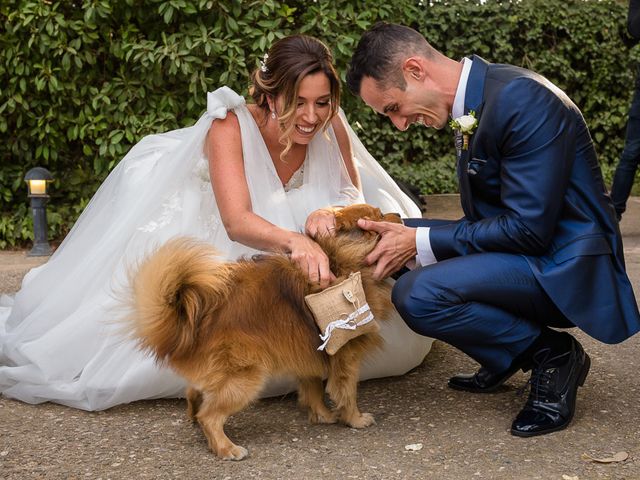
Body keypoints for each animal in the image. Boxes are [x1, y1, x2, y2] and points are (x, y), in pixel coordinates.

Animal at [129, 203, 400, 462]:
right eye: (378, 216)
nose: (398, 215)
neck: (338, 257)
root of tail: (194, 322)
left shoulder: (305, 352)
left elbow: (312, 389)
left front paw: (323, 415)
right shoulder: (347, 357)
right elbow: (347, 392)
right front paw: (355, 419)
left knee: (194, 394)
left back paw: (196, 422)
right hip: (246, 378)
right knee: (211, 415)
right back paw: (226, 448)